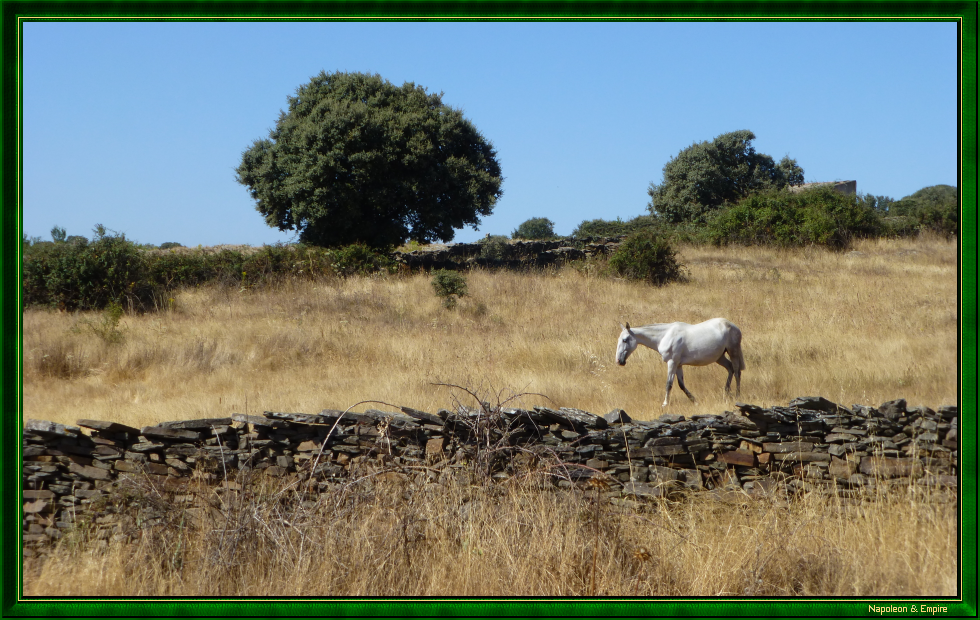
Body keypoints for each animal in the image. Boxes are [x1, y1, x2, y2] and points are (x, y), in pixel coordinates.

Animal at [615, 318, 745, 407]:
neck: (665, 336)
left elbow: (669, 384)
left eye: (625, 340)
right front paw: (695, 401)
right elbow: (681, 384)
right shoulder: (678, 365)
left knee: (737, 372)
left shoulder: (672, 363)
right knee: (730, 369)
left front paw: (665, 403)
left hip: (733, 352)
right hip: (720, 357)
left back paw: (737, 395)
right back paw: (726, 393)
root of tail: (733, 326)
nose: (619, 361)